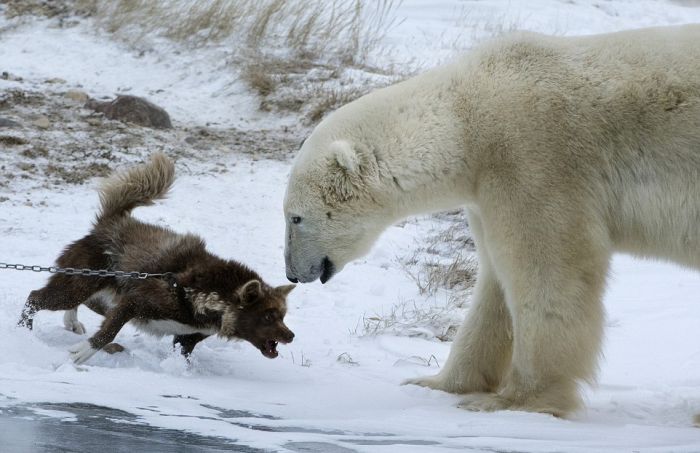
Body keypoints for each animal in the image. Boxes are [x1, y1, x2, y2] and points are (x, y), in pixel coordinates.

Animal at [18, 152, 292, 364]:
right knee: (35, 298)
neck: (203, 294)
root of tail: (111, 224)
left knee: (77, 302)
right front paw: (85, 352)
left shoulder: (187, 336)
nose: (291, 336)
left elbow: (182, 353)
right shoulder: (134, 302)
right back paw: (23, 333)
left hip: (102, 296)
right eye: (268, 315)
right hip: (80, 287)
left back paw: (71, 321)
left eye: (283, 316)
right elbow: (109, 332)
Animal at [284, 23, 700, 414]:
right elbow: (495, 283)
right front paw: (436, 383)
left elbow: (550, 272)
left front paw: (516, 400)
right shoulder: (485, 192)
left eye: (295, 218)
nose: (292, 273)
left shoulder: (534, 159)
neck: (466, 119)